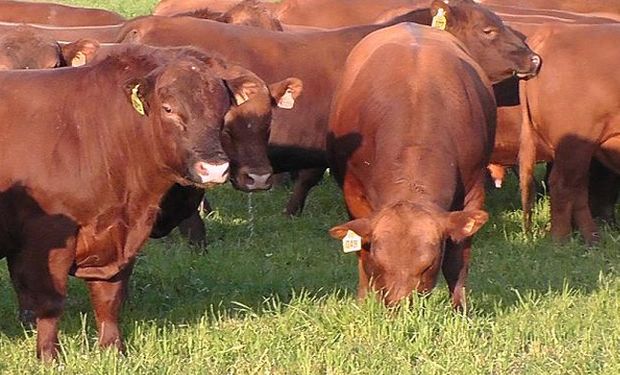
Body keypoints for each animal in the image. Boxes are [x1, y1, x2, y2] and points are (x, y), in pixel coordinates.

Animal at [0, 44, 294, 362]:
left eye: (221, 112)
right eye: (168, 109)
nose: (213, 169)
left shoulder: (122, 235)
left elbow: (109, 297)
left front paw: (113, 349)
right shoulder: (47, 237)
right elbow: (49, 301)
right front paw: (49, 356)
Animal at [326, 3, 540, 308]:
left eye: (428, 264)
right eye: (382, 262)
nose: (401, 309)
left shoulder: (472, 192)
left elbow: (457, 259)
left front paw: (460, 308)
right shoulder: (354, 194)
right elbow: (361, 254)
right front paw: (366, 300)